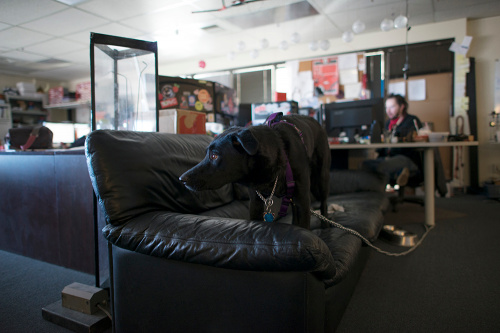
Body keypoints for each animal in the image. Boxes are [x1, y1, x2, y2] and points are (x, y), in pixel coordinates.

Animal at [181, 113, 332, 228]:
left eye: (214, 155)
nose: (182, 179)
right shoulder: (255, 203)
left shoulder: (302, 200)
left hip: (321, 180)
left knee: (324, 203)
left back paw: (325, 225)